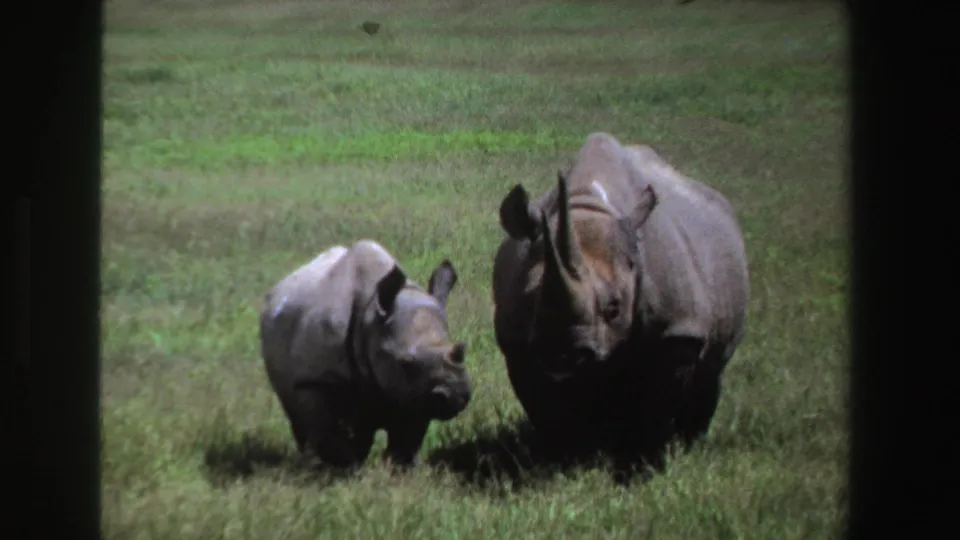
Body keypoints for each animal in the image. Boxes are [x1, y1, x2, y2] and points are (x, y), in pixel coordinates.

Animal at [260, 240, 471, 469]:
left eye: (462, 351)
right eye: (406, 363)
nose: (456, 394)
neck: (371, 317)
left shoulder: (415, 391)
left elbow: (408, 433)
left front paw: (402, 469)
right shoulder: (317, 377)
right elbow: (326, 426)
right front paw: (338, 467)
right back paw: (315, 462)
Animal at [492, 132, 749, 470]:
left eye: (613, 307)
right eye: (529, 301)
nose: (563, 353)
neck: (586, 206)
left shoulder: (678, 330)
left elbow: (658, 404)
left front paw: (646, 464)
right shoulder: (518, 344)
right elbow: (545, 407)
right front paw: (564, 459)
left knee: (712, 371)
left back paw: (691, 443)